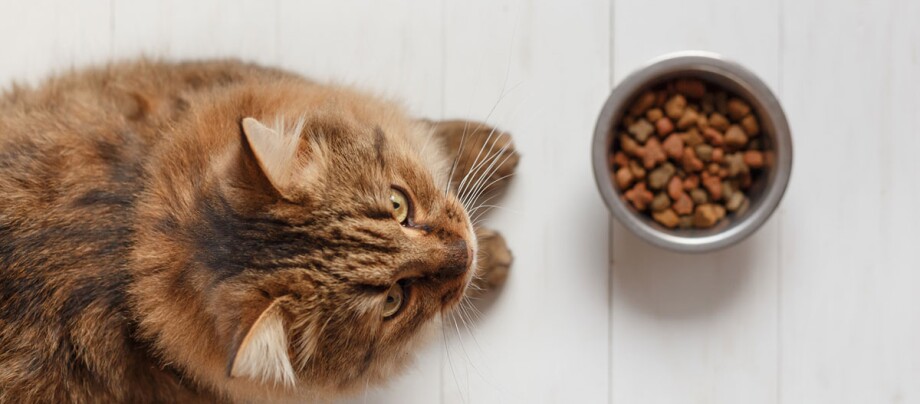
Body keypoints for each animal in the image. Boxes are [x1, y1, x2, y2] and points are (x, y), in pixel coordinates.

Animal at [0, 60, 516, 404]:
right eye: (394, 300)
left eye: (398, 204)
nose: (464, 251)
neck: (127, 236)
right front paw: (494, 258)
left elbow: (426, 135)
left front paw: (488, 150)